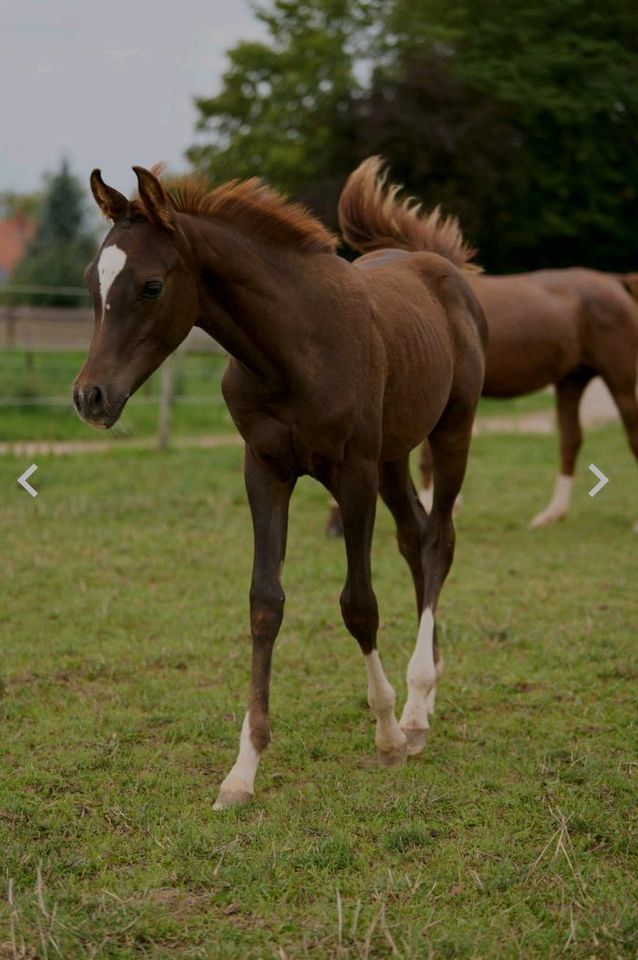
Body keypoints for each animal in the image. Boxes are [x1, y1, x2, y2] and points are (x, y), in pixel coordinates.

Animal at [72, 158, 488, 808]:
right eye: (94, 280)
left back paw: (416, 710)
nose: (90, 397)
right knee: (415, 539)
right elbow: (265, 603)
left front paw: (388, 735)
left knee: (439, 539)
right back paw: (428, 692)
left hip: (451, 430)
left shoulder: (353, 473)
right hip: (394, 455)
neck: (293, 347)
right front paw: (242, 770)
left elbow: (359, 604)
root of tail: (438, 263)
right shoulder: (264, 469)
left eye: (151, 286)